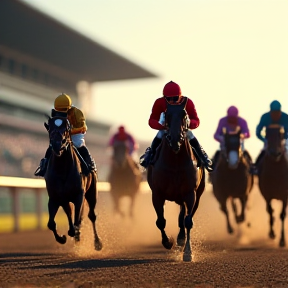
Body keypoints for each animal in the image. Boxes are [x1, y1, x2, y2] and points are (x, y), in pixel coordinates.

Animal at [44, 113, 103, 250]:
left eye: (66, 128)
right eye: (50, 129)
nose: (57, 144)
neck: (62, 169)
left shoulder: (79, 195)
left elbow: (77, 221)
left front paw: (74, 234)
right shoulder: (56, 197)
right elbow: (51, 223)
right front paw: (62, 238)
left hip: (92, 193)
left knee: (91, 216)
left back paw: (97, 242)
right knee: (71, 214)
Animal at [147, 98, 206, 262]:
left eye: (184, 114)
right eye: (166, 114)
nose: (175, 139)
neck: (175, 160)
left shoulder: (190, 193)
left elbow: (188, 221)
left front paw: (188, 252)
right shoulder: (157, 194)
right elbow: (160, 221)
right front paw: (168, 242)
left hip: (197, 194)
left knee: (185, 216)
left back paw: (181, 239)